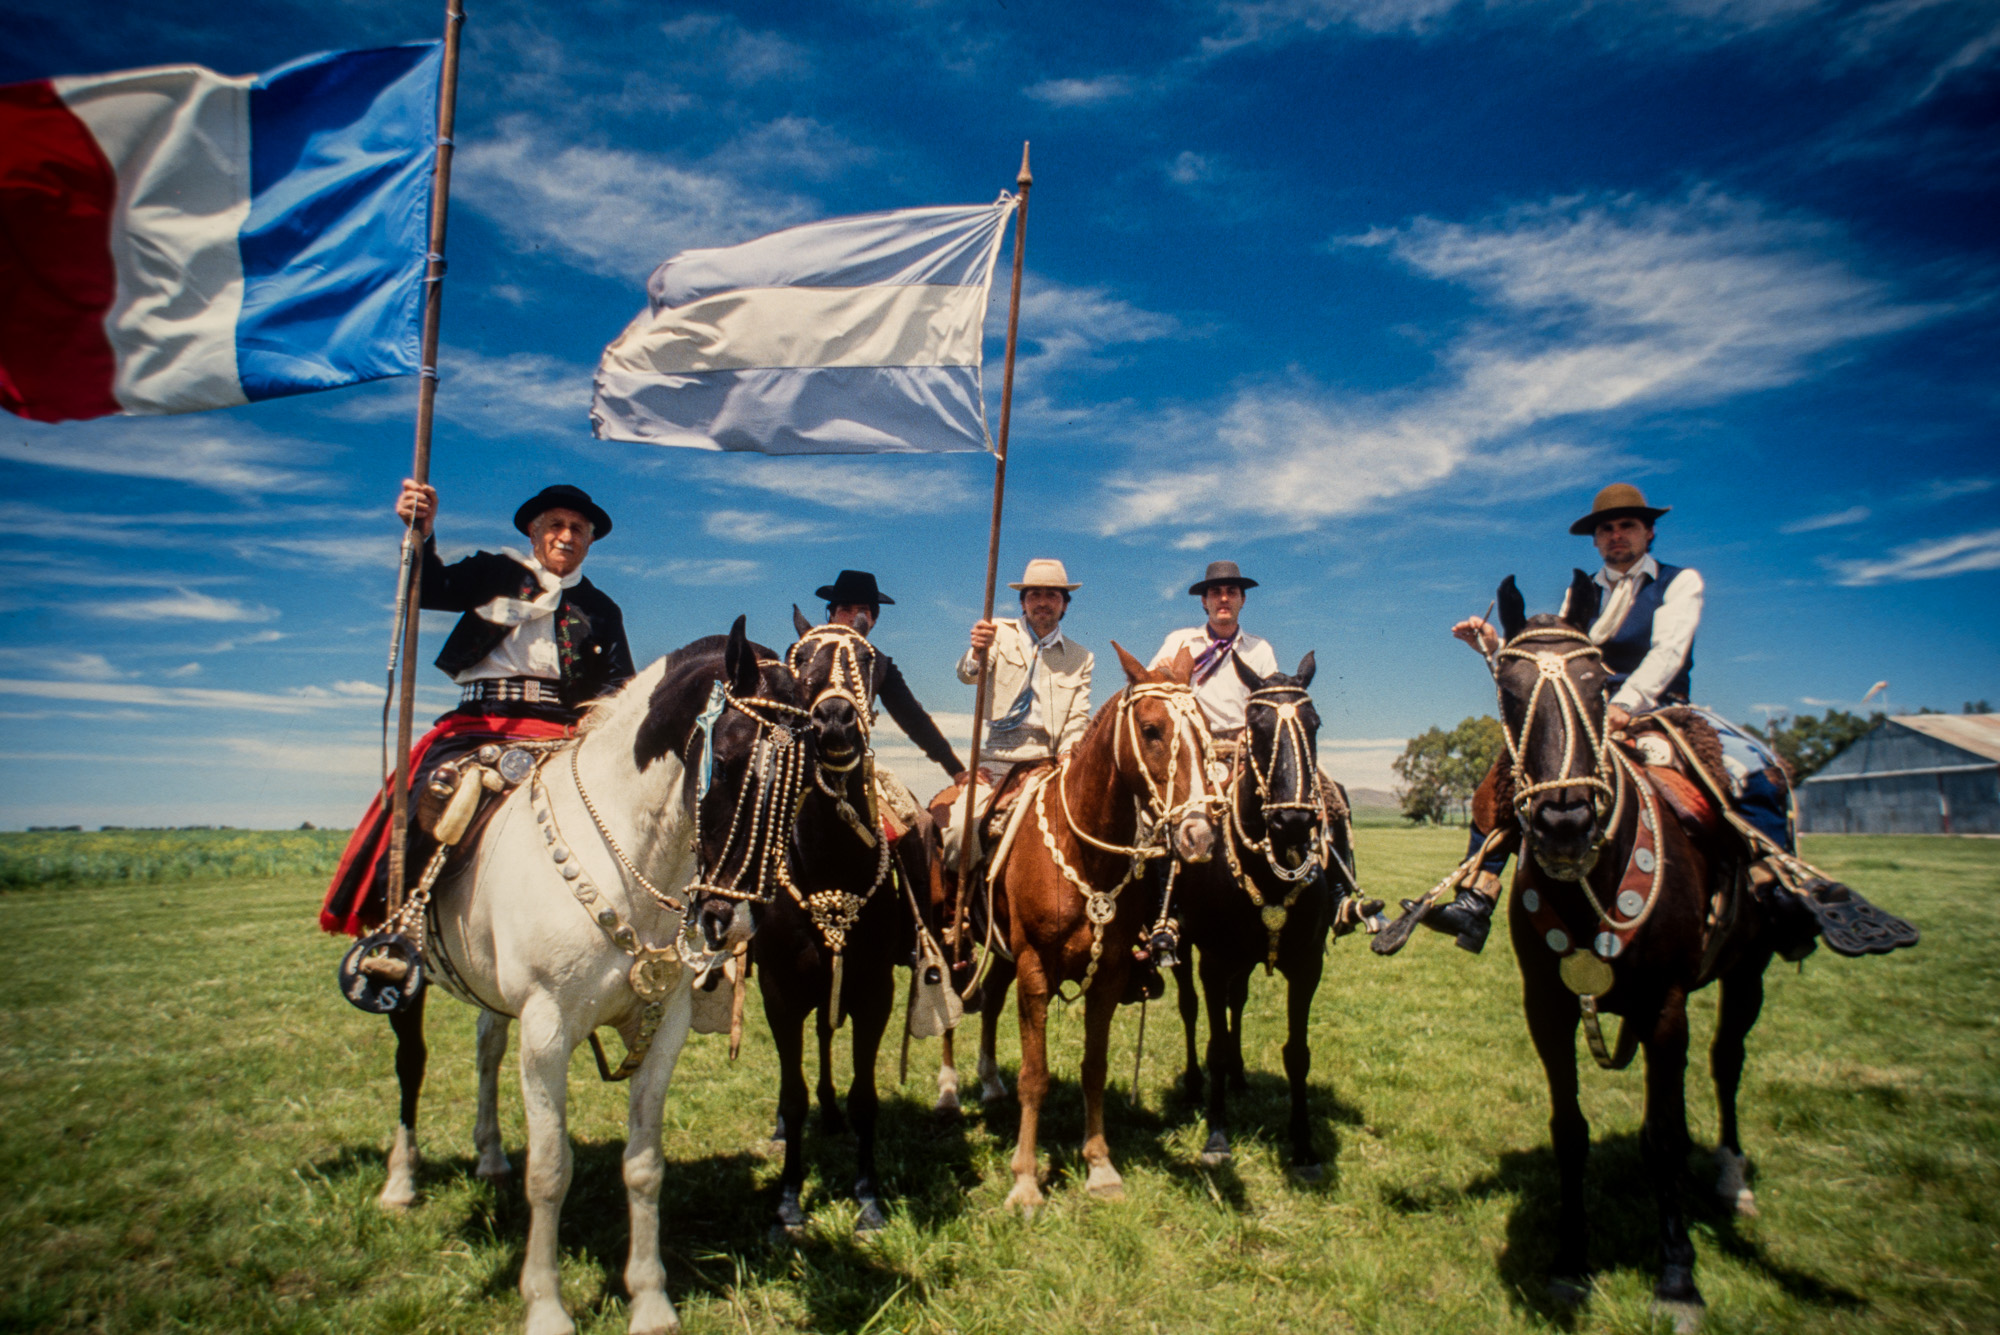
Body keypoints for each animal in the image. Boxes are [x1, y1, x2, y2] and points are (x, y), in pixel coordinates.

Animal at [376, 623, 812, 1335]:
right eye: (728, 759)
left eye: (803, 784)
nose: (733, 921)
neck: (627, 859)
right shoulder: (547, 1031)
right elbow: (552, 1170)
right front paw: (546, 1306)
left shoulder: (662, 1031)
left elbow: (643, 1165)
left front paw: (651, 1299)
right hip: (403, 975)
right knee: (411, 1064)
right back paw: (400, 1181)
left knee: (486, 1048)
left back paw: (490, 1155)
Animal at [752, 619, 936, 1239]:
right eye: (800, 657)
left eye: (869, 659)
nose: (835, 721)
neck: (830, 858)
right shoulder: (779, 993)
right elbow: (792, 1095)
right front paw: (788, 1201)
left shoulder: (873, 992)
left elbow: (865, 1098)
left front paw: (868, 1198)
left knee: (827, 1038)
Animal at [988, 639, 1216, 1215]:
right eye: (1152, 729)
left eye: (1204, 727)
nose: (1200, 835)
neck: (1081, 851)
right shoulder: (1033, 970)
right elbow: (1035, 1076)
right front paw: (1025, 1181)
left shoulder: (1110, 976)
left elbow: (1094, 1068)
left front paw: (1099, 1166)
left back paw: (987, 1082)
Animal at [1168, 647, 1368, 1175]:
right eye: (1255, 726)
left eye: (1315, 724)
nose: (1293, 821)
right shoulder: (1214, 962)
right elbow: (1214, 1043)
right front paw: (1217, 1137)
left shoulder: (1307, 966)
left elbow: (1296, 1053)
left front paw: (1303, 1145)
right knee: (1189, 1009)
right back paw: (1195, 1086)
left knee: (1236, 1005)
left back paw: (1240, 1078)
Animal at [1496, 571, 1792, 1327]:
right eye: (1507, 688)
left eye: (1598, 681)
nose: (1564, 820)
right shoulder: (1546, 1006)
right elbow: (1569, 1128)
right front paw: (1571, 1260)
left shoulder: (1665, 1007)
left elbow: (1662, 1132)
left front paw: (1677, 1277)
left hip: (1747, 973)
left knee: (1725, 1063)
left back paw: (1730, 1176)